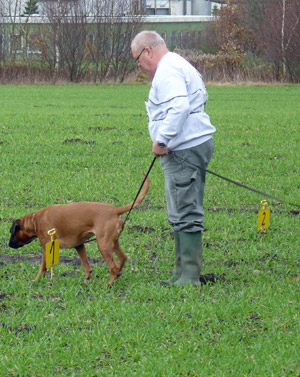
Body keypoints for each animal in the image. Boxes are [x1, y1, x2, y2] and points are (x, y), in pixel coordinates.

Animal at [8, 174, 149, 284]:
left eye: (11, 232)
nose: (8, 245)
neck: (34, 221)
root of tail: (116, 210)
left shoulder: (46, 248)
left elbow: (43, 267)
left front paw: (36, 281)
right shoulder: (80, 246)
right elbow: (86, 265)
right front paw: (87, 281)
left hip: (103, 244)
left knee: (113, 266)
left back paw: (108, 285)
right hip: (113, 242)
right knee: (122, 258)